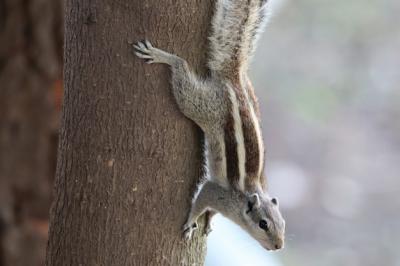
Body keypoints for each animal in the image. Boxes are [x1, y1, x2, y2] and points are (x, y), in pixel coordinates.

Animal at [134, 0, 284, 251]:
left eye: (283, 223)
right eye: (263, 224)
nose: (279, 246)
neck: (248, 195)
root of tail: (234, 78)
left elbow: (211, 212)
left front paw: (209, 222)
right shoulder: (215, 192)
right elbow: (200, 200)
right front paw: (190, 222)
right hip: (202, 106)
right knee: (182, 71)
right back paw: (163, 56)